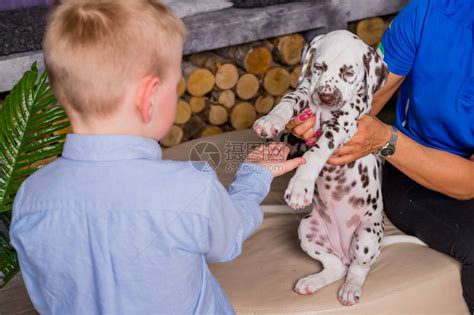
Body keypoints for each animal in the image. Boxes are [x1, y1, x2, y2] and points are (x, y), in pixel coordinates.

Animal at [254, 29, 424, 306]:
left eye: (348, 73)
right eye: (319, 67)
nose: (325, 96)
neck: (323, 110)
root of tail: (344, 249)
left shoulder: (342, 124)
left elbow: (316, 151)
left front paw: (300, 185)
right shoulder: (306, 90)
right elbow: (290, 98)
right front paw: (271, 120)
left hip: (366, 236)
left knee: (357, 268)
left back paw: (350, 289)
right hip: (308, 228)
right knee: (336, 266)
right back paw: (313, 281)